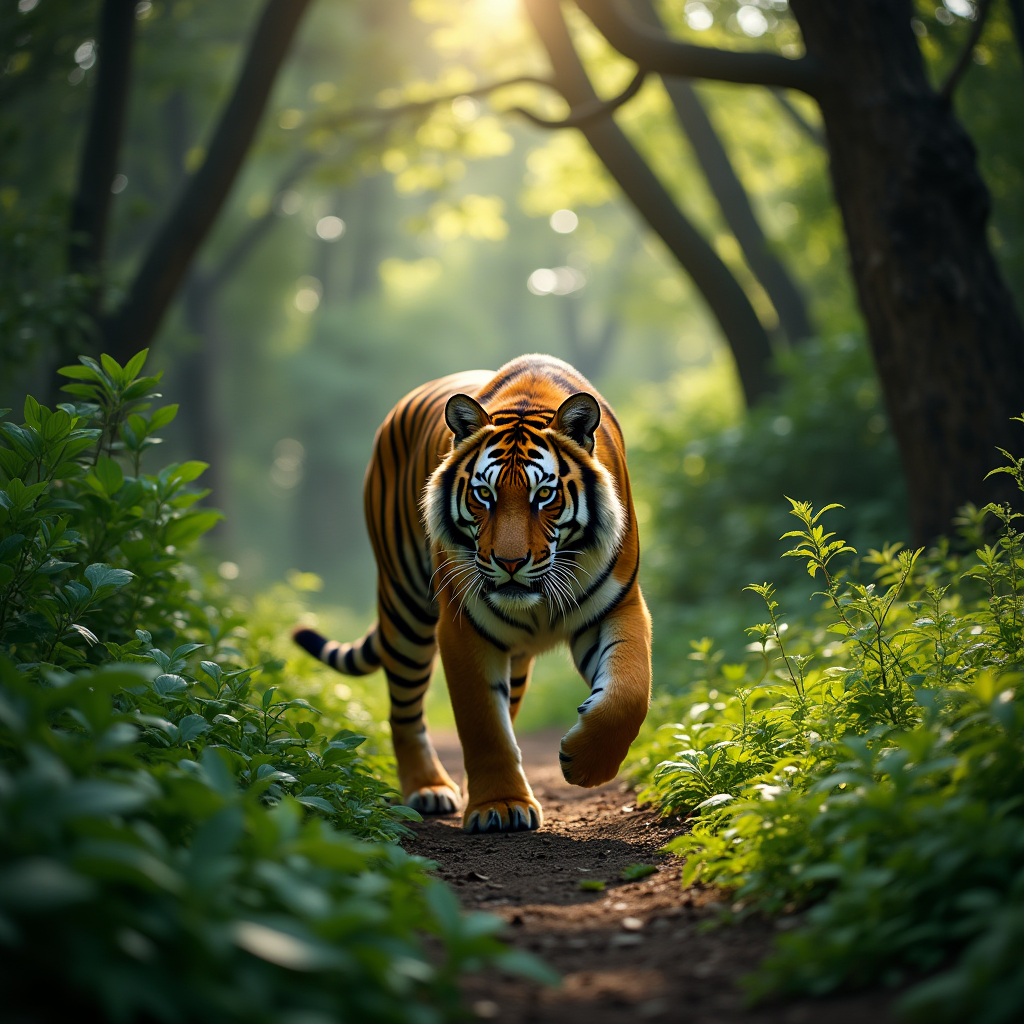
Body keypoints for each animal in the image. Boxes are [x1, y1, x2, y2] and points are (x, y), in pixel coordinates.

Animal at [293, 354, 652, 833]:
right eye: (484, 494)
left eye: (544, 495)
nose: (510, 562)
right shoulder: (464, 625)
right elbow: (482, 722)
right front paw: (500, 805)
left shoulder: (618, 605)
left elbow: (627, 694)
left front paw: (584, 765)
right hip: (406, 609)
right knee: (404, 712)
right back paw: (429, 789)